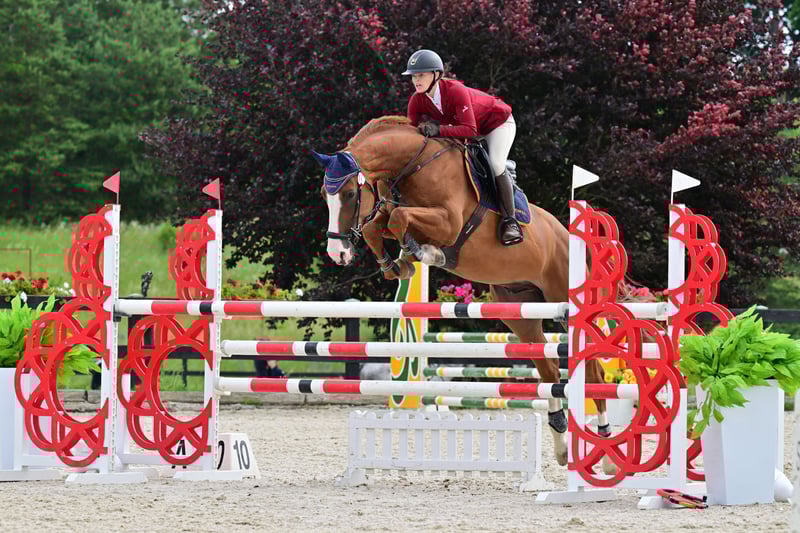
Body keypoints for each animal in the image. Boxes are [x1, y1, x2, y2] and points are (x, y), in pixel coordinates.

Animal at [312, 115, 611, 468]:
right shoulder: (390, 212)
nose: (338, 253)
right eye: (324, 195)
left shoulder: (449, 222)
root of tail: (566, 235)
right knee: (549, 370)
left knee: (593, 372)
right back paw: (563, 446)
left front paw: (426, 254)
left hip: (564, 303)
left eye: (347, 194)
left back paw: (605, 448)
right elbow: (379, 225)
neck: (413, 166)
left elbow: (399, 218)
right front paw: (398, 264)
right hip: (520, 313)